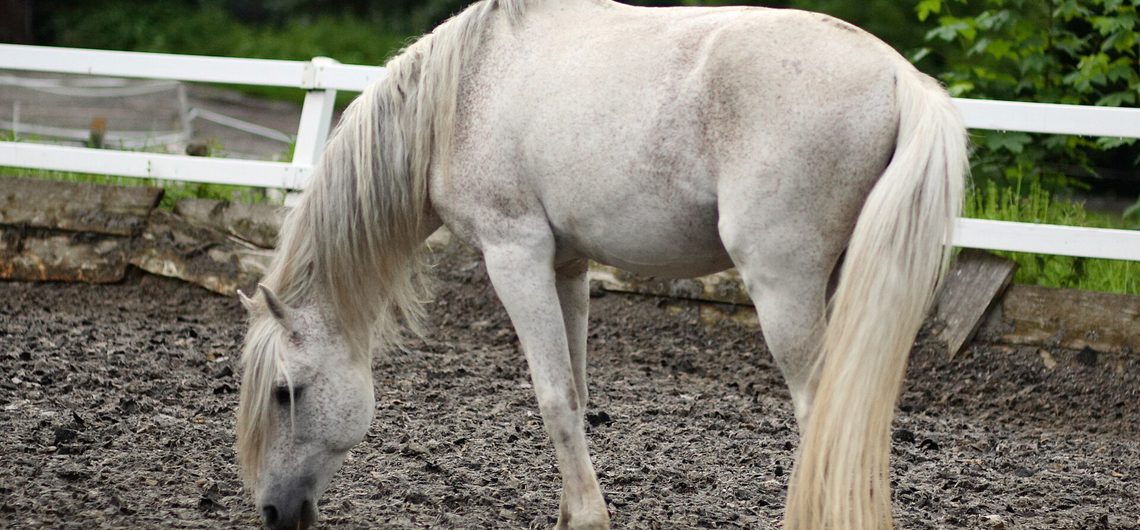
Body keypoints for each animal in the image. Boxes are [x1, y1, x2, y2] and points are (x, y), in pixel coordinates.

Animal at [234, 0, 967, 528]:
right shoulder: (568, 268)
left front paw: (586, 517)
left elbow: (554, 397)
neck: (463, 94)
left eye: (284, 393)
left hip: (783, 289)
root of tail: (899, 74)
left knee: (823, 416)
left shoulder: (516, 257)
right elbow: (580, 395)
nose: (273, 512)